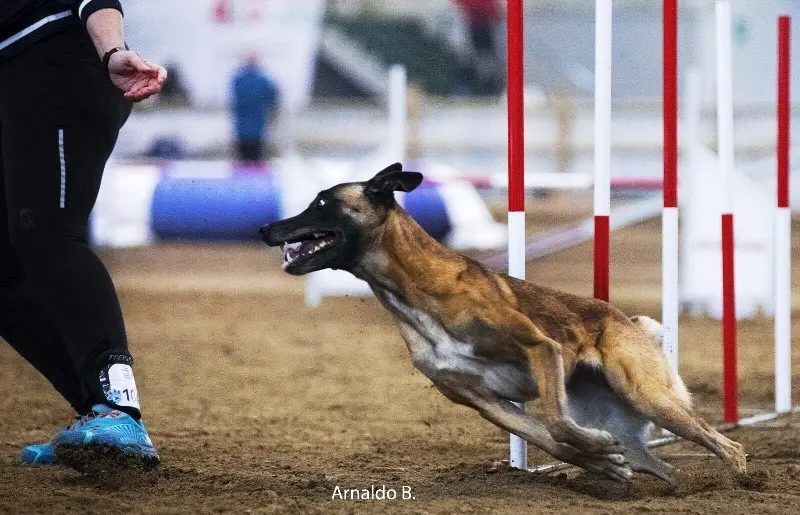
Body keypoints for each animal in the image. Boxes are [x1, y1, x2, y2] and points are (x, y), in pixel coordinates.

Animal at [260, 164, 748, 484]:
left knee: (726, 445)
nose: (266, 228)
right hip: (628, 422)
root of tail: (626, 321)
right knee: (660, 465)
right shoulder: (482, 400)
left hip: (650, 397)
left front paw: (593, 453)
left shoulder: (541, 347)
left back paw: (741, 478)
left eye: (323, 201)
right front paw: (600, 460)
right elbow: (554, 439)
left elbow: (555, 421)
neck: (417, 291)